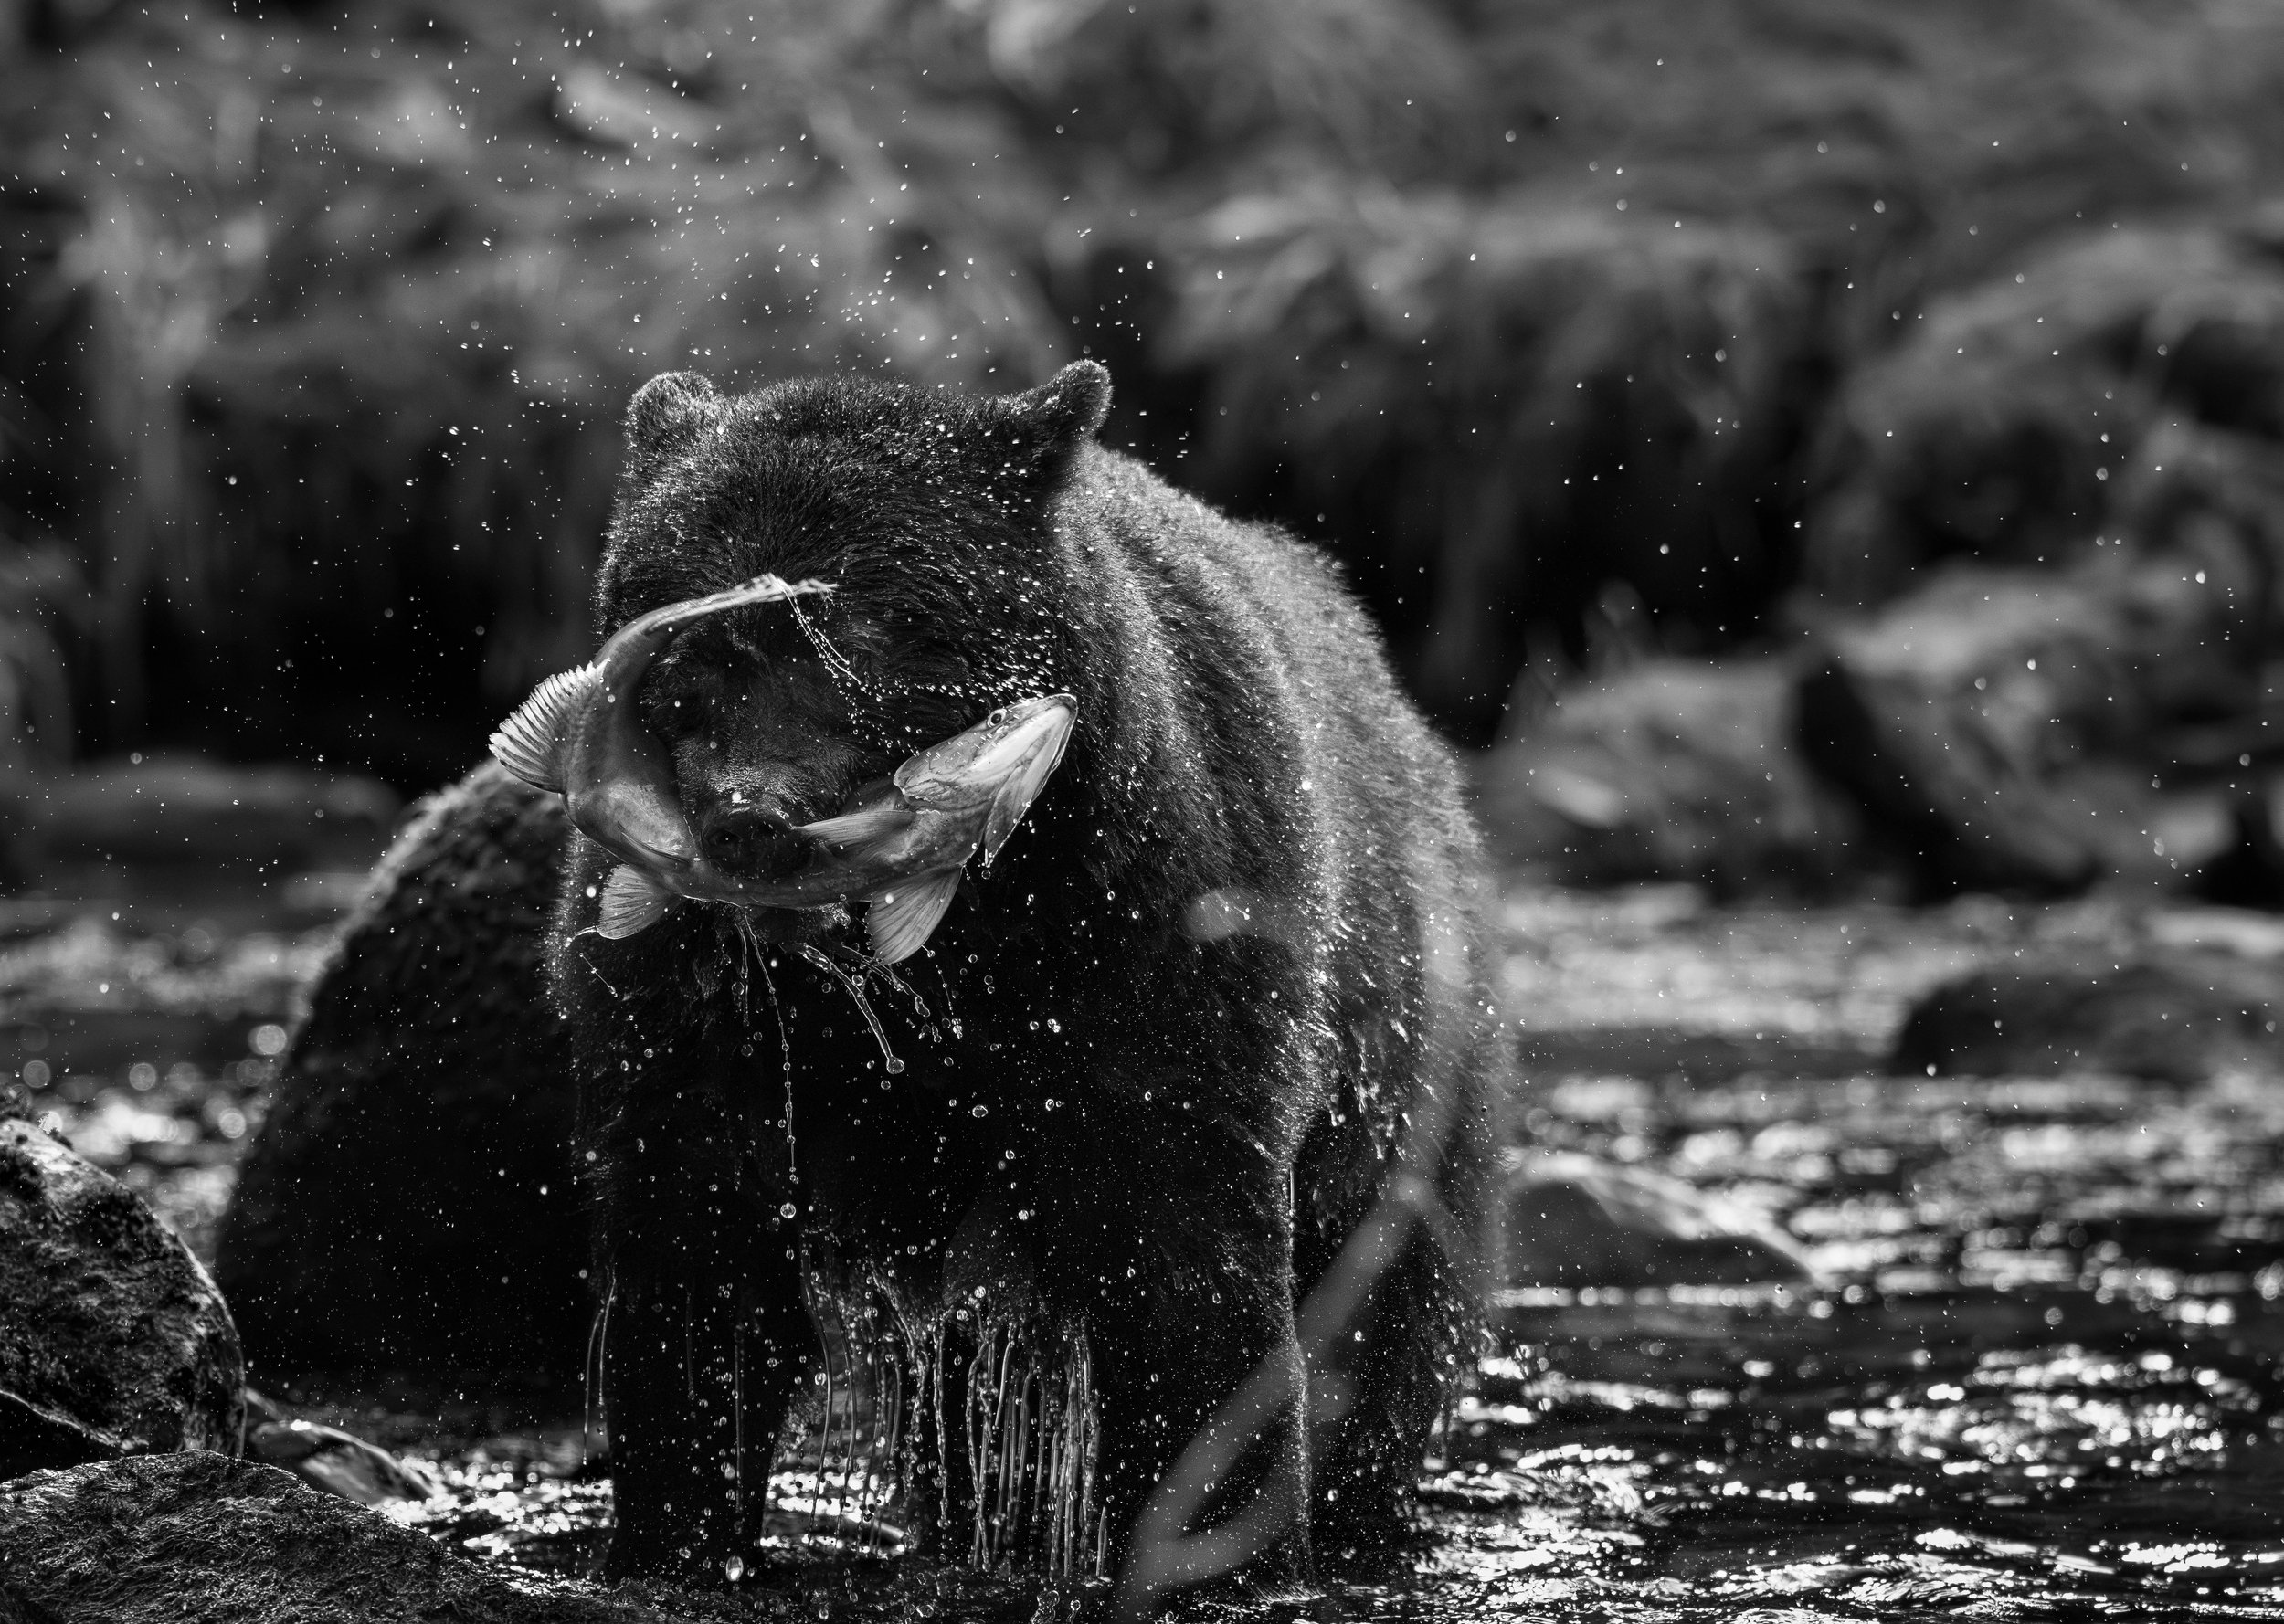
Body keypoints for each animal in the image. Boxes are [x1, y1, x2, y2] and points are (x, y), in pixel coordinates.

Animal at [551, 359, 1507, 1601]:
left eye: (861, 625)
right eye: (685, 658)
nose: (750, 818)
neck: (949, 957)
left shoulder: (1149, 946)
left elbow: (1190, 1268)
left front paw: (1224, 1549)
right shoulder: (703, 1020)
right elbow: (697, 1264)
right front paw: (673, 1536)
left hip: (1399, 1066)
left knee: (1383, 1300)